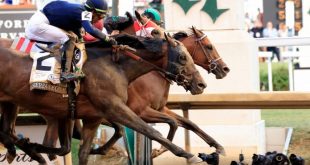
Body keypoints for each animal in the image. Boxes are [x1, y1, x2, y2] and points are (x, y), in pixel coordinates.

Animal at [0, 33, 208, 164]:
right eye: (182, 57)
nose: (201, 84)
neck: (116, 66)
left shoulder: (93, 117)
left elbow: (83, 153)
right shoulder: (117, 108)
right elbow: (151, 131)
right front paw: (188, 155)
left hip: (11, 104)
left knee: (8, 131)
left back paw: (27, 149)